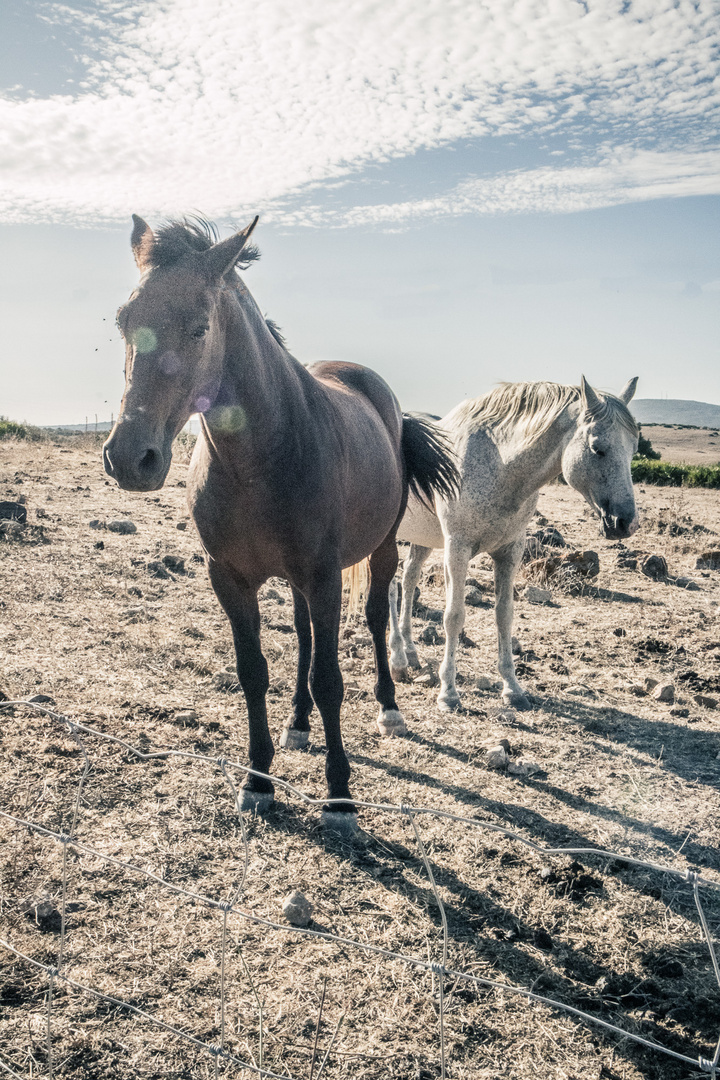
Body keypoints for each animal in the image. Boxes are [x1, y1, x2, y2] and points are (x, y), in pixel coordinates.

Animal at [104, 214, 459, 829]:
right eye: (125, 320)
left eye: (199, 328)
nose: (130, 458)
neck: (259, 460)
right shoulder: (229, 577)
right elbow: (255, 672)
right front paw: (258, 780)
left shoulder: (323, 576)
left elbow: (330, 679)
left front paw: (339, 796)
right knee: (302, 635)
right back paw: (297, 723)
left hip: (379, 552)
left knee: (372, 619)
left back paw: (389, 710)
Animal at [390, 375, 639, 712]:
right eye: (598, 449)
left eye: (634, 449)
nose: (625, 522)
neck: (500, 465)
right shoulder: (457, 549)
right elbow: (454, 616)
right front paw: (449, 692)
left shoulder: (510, 551)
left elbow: (504, 615)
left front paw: (512, 687)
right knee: (390, 587)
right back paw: (397, 660)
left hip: (422, 539)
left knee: (407, 579)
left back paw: (410, 655)